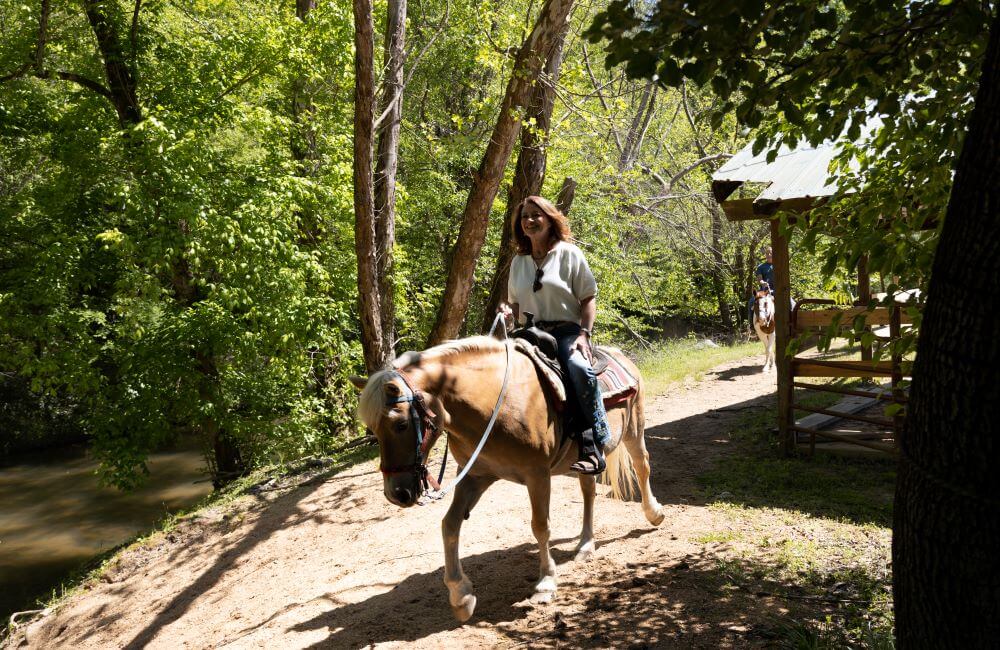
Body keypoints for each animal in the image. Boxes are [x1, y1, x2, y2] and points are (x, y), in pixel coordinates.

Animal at [352, 336, 664, 620]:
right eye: (373, 429)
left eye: (401, 424)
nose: (396, 494)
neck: (495, 405)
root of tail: (619, 355)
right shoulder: (475, 475)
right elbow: (449, 525)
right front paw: (461, 596)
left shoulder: (537, 475)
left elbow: (540, 526)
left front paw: (545, 583)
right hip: (584, 460)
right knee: (589, 490)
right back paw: (585, 545)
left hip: (634, 429)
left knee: (642, 466)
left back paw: (654, 513)